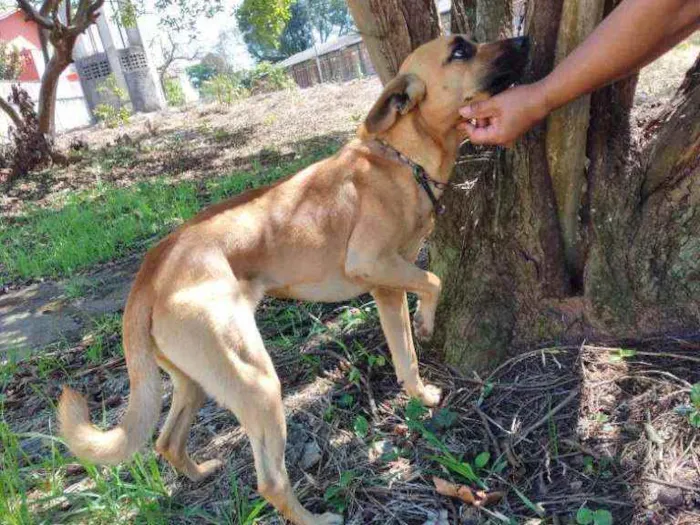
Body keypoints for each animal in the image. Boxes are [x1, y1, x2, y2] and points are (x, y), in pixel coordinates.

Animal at [60, 34, 528, 520]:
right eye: (460, 51)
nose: (524, 39)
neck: (399, 157)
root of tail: (151, 270)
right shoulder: (372, 262)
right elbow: (433, 281)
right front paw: (427, 324)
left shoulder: (386, 288)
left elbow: (406, 356)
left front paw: (418, 393)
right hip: (257, 382)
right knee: (270, 482)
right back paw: (316, 517)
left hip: (192, 383)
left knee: (167, 441)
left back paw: (200, 473)